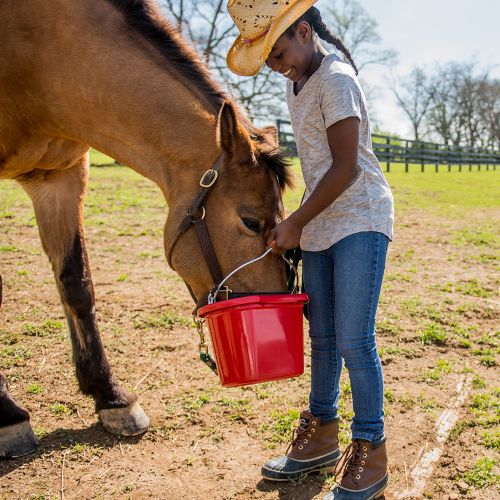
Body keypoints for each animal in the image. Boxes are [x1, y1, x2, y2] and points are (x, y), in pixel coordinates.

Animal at [0, 0, 292, 458]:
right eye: (251, 222)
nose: (275, 304)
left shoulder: (61, 178)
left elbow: (77, 285)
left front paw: (110, 396)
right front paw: (7, 415)